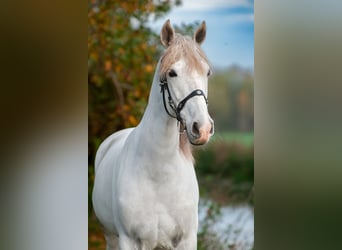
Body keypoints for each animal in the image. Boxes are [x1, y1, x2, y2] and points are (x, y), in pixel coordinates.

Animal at [91, 20, 214, 250]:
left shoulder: (186, 240)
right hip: (110, 237)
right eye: (172, 73)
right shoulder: (128, 240)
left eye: (207, 72)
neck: (159, 174)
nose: (201, 128)